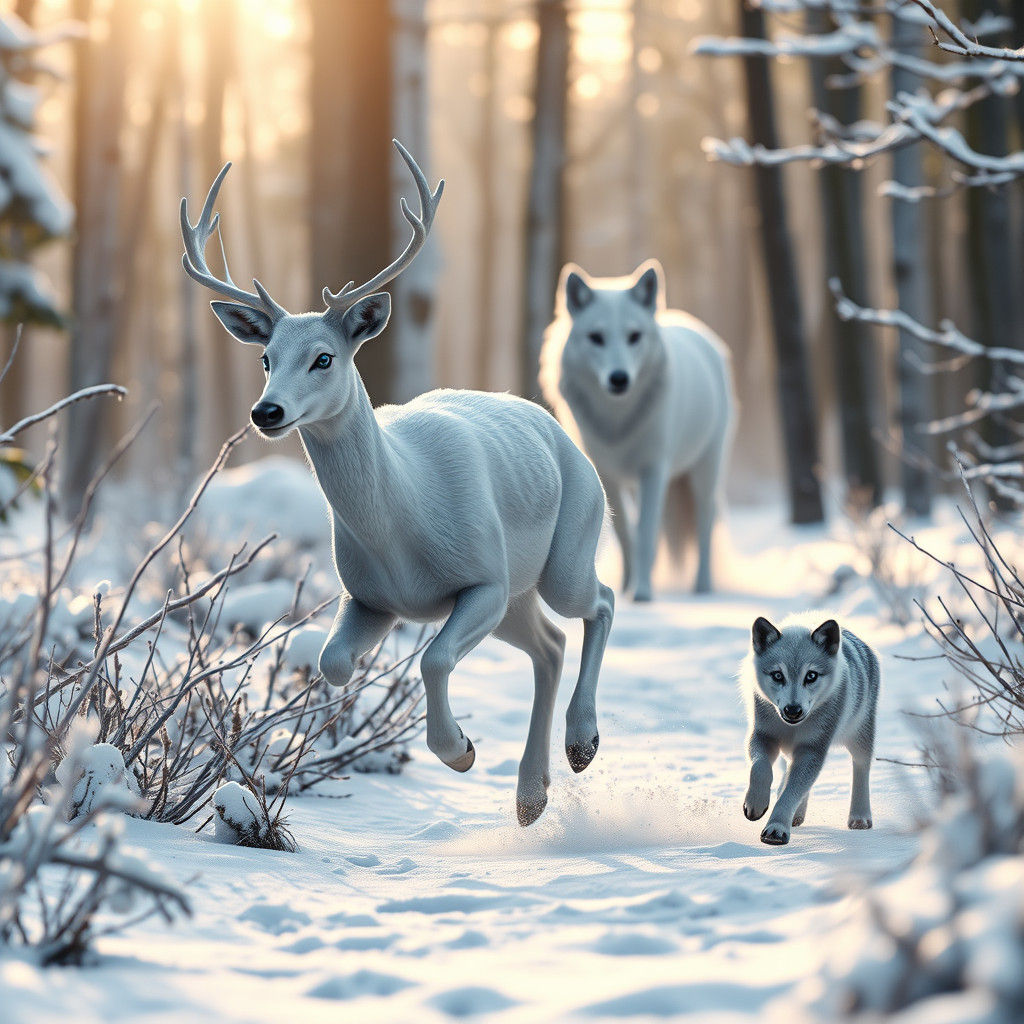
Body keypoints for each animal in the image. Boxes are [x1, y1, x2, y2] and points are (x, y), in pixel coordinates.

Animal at [179, 142, 615, 826]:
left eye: (324, 357)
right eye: (266, 358)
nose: (266, 411)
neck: (402, 530)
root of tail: (560, 433)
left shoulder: (482, 576)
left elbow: (433, 656)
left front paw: (459, 751)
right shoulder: (370, 596)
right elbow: (331, 661)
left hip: (564, 552)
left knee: (599, 603)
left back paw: (582, 742)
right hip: (518, 594)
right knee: (549, 643)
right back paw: (532, 795)